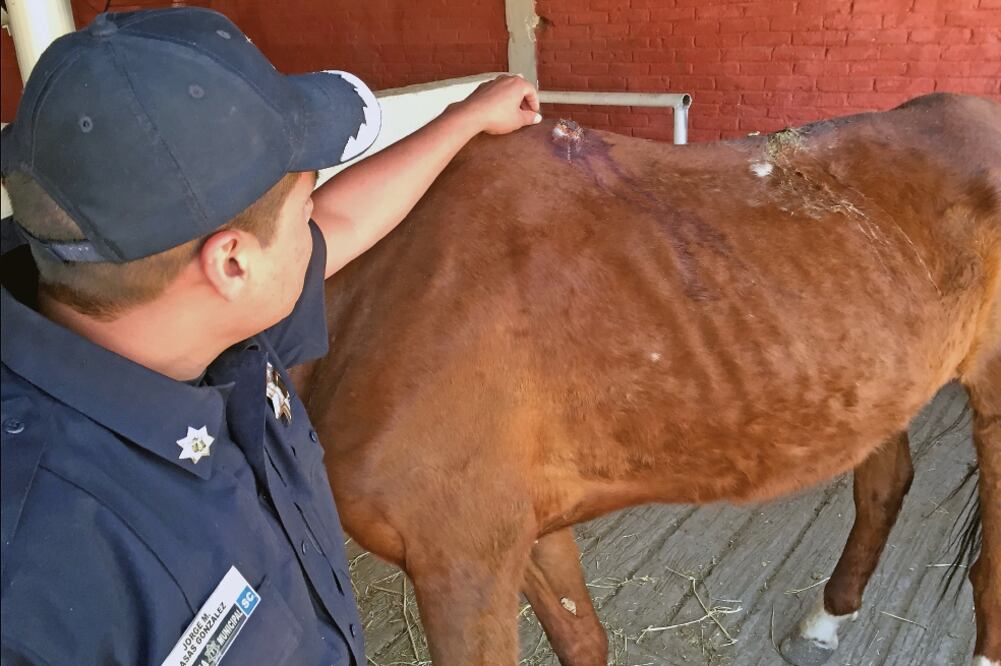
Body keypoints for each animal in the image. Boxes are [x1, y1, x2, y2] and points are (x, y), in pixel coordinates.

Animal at [290, 92, 1001, 665]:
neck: (378, 294)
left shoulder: (460, 567)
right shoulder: (523, 534)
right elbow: (583, 640)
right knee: (885, 486)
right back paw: (824, 622)